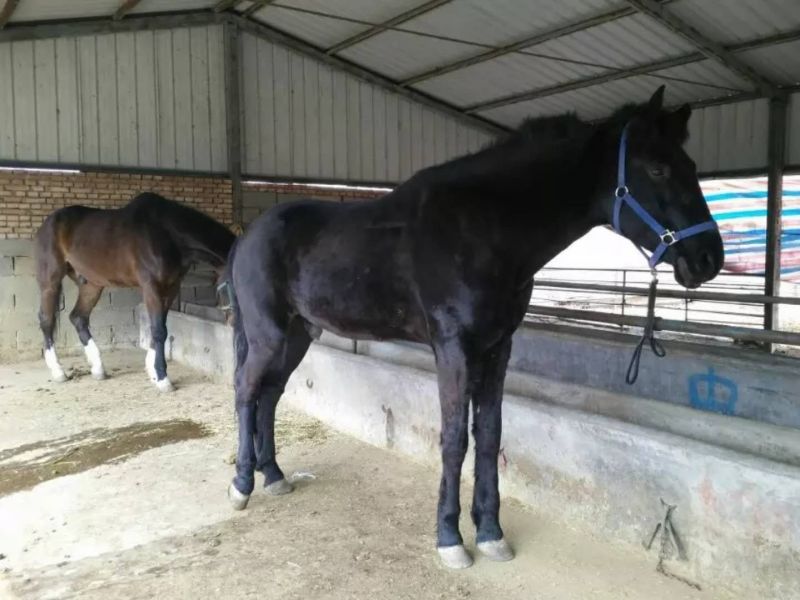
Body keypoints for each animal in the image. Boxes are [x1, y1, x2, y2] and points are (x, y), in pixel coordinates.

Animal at [34, 192, 236, 391]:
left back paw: (98, 369)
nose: (235, 323)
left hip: (91, 285)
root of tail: (47, 223)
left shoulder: (171, 288)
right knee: (47, 320)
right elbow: (158, 330)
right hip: (50, 281)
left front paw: (152, 371)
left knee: (78, 317)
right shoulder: (151, 287)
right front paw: (162, 379)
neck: (167, 234)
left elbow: (160, 327)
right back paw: (58, 372)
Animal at [223, 86, 724, 569]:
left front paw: (490, 533)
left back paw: (274, 476)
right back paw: (242, 485)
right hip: (269, 336)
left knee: (269, 394)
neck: (481, 229)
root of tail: (246, 238)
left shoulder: (498, 347)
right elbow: (453, 440)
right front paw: (450, 538)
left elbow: (489, 436)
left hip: (298, 335)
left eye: (692, 166)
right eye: (657, 169)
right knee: (247, 391)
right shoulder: (453, 348)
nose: (709, 259)